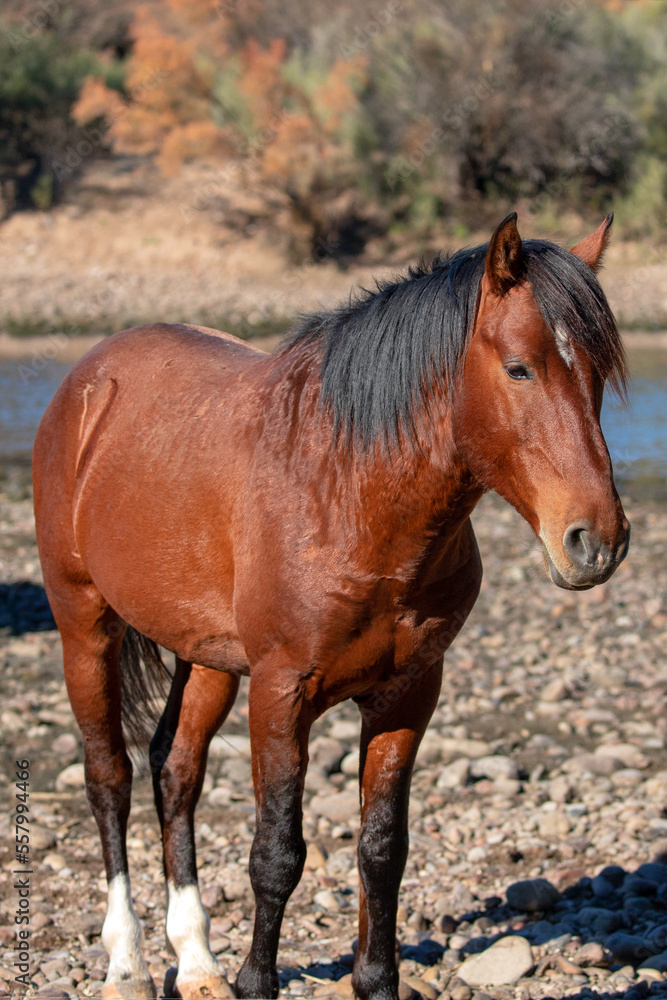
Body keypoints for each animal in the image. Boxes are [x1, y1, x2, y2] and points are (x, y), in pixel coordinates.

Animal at [34, 213, 632, 1000]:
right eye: (519, 369)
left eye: (596, 373)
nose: (596, 541)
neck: (349, 491)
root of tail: (88, 378)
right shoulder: (281, 693)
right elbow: (276, 853)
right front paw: (257, 980)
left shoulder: (408, 693)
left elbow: (381, 847)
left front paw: (374, 980)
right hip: (85, 626)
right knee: (110, 778)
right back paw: (127, 962)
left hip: (206, 659)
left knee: (176, 773)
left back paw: (196, 964)